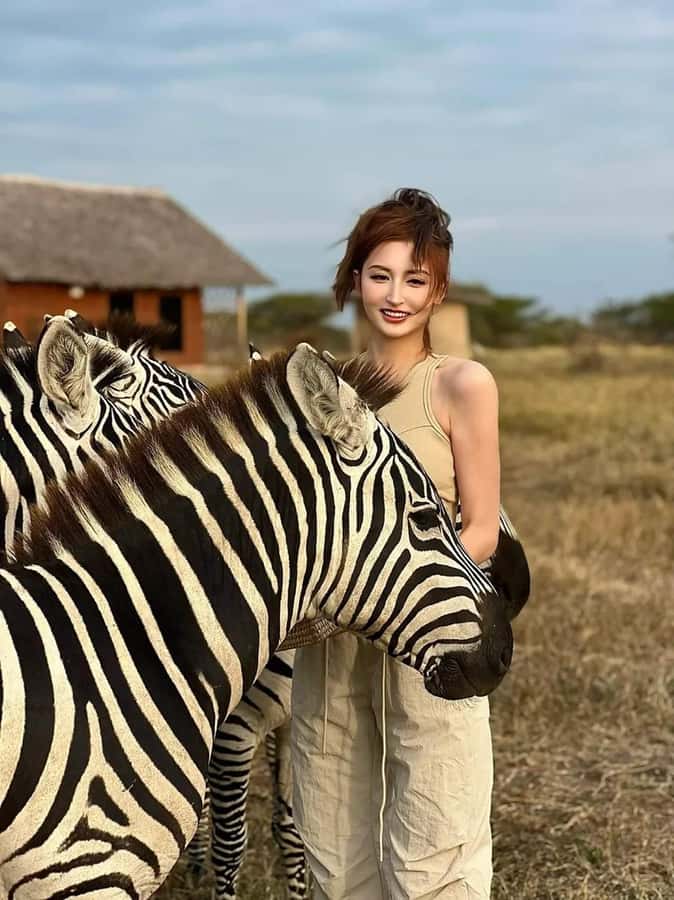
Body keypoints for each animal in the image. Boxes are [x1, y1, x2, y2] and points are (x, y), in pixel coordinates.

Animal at [0, 342, 528, 898]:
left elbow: (294, 831)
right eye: (426, 517)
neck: (127, 639)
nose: (504, 647)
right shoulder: (91, 867)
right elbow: (234, 842)